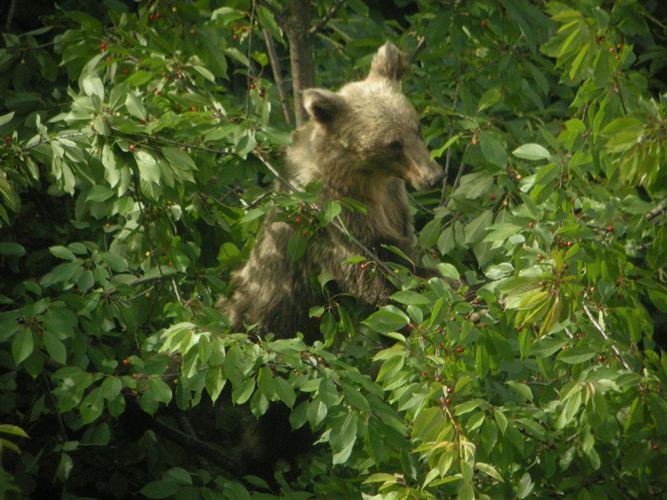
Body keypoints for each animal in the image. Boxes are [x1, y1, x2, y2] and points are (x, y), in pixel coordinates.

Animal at [222, 41, 443, 339]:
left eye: (416, 128)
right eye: (393, 144)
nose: (433, 177)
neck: (367, 176)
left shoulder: (393, 199)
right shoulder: (337, 212)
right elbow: (375, 265)